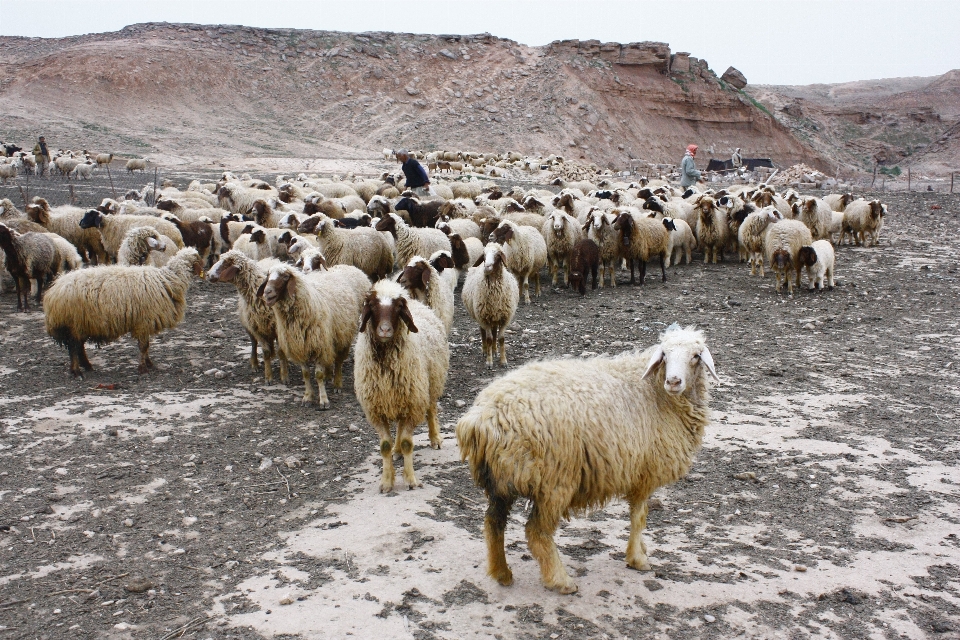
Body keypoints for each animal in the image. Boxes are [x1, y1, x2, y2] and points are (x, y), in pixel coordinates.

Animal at [46, 245, 203, 376]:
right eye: (199, 259)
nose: (205, 274)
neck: (168, 279)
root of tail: (54, 291)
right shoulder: (144, 322)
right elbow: (143, 347)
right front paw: (143, 368)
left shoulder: (144, 323)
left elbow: (146, 346)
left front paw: (149, 364)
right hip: (73, 323)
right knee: (74, 348)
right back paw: (77, 372)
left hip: (81, 324)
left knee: (79, 347)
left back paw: (87, 366)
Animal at [207, 250, 288, 382]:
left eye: (226, 263)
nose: (208, 274)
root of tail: (268, 259)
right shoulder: (256, 328)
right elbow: (265, 351)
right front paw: (268, 376)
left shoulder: (278, 326)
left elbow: (281, 351)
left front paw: (284, 375)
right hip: (249, 326)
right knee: (254, 344)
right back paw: (254, 364)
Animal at [256, 262, 370, 408]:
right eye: (268, 275)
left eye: (286, 276)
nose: (267, 292)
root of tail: (347, 266)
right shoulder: (300, 346)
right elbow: (306, 374)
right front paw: (308, 397)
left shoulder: (319, 345)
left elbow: (318, 375)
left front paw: (323, 400)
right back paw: (329, 376)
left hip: (343, 335)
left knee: (338, 361)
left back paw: (337, 383)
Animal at [354, 278, 452, 492]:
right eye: (372, 305)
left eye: (398, 307)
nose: (384, 330)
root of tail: (418, 303)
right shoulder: (377, 410)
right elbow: (384, 447)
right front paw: (386, 482)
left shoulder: (413, 402)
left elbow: (408, 443)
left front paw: (410, 479)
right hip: (401, 397)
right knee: (399, 425)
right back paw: (396, 450)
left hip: (430, 383)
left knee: (431, 409)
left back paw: (435, 438)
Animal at [460, 324, 720, 596]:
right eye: (665, 355)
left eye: (695, 356)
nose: (673, 381)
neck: (657, 393)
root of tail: (481, 417)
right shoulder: (644, 474)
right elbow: (639, 518)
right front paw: (637, 558)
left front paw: (641, 550)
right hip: (554, 481)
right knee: (536, 532)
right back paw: (560, 580)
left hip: (500, 480)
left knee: (493, 523)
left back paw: (502, 573)